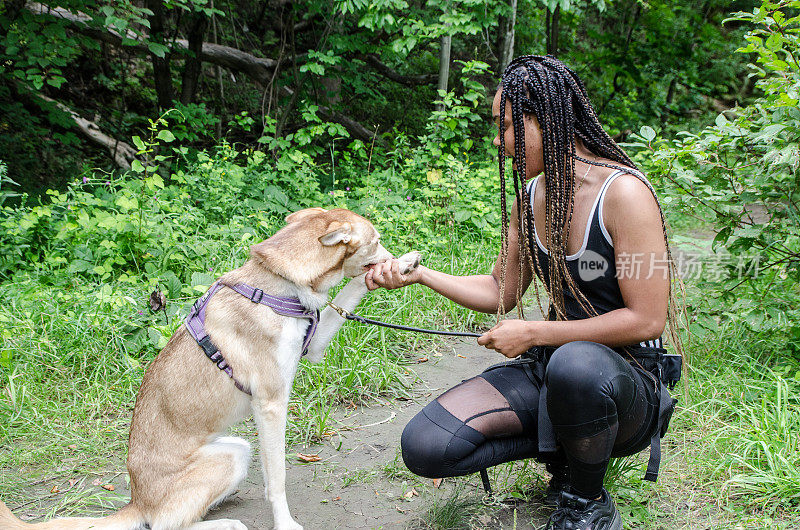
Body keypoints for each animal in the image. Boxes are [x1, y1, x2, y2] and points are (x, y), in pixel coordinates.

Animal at [0, 207, 422, 528]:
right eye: (376, 240)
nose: (390, 254)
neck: (276, 284)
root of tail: (137, 501)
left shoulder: (313, 347)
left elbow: (351, 291)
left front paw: (404, 263)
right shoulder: (271, 404)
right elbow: (277, 480)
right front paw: (285, 524)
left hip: (236, 449)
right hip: (225, 459)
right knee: (164, 526)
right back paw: (226, 524)